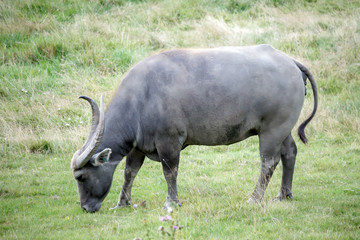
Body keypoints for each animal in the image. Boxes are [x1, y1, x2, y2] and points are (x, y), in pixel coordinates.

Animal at [71, 44, 318, 212]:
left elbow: (170, 171)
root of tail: (290, 62)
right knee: (289, 153)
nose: (85, 207)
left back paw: (255, 198)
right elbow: (129, 172)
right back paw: (284, 194)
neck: (141, 98)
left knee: (269, 162)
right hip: (283, 130)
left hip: (272, 131)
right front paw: (122, 202)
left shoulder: (169, 141)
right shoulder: (138, 146)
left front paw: (171, 202)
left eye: (81, 177)